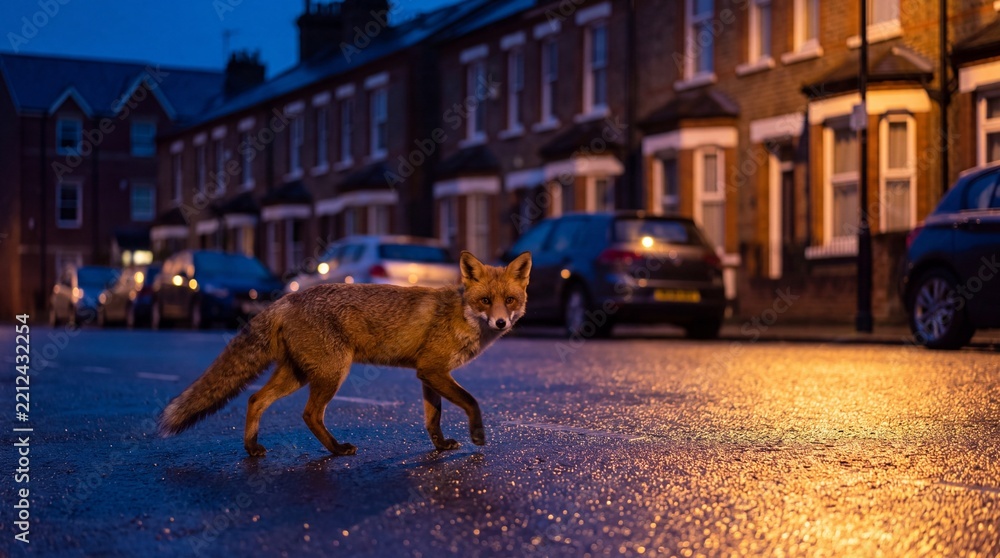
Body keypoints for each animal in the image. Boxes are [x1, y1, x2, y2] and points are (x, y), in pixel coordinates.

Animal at [158, 250, 531, 456]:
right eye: (485, 301)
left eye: (510, 300)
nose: (501, 322)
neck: (460, 314)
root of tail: (286, 298)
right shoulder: (434, 370)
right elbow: (471, 401)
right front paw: (477, 435)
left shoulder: (428, 373)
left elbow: (433, 418)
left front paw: (440, 447)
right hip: (332, 372)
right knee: (309, 414)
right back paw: (337, 450)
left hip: (297, 374)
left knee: (255, 399)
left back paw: (251, 449)